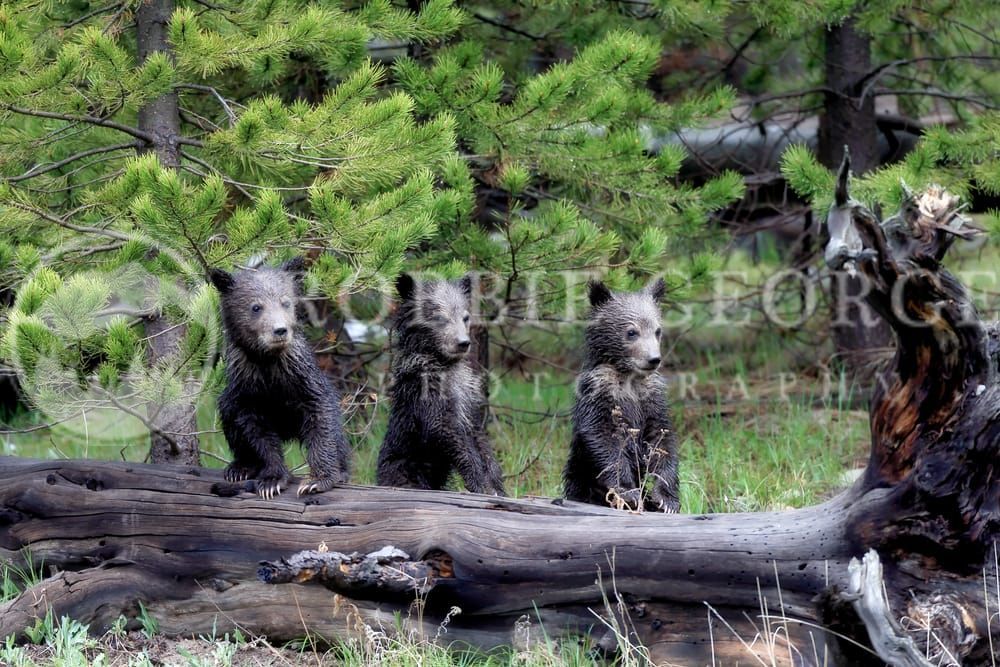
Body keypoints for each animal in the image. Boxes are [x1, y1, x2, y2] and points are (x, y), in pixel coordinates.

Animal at [209, 258, 351, 499]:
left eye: (285, 302)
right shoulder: (247, 388)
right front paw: (272, 480)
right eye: (256, 307)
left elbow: (322, 419)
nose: (280, 330)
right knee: (227, 411)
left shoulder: (302, 379)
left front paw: (318, 479)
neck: (268, 363)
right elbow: (257, 433)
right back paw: (240, 467)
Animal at [375, 273, 506, 495]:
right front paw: (479, 482)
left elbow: (478, 435)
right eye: (439, 317)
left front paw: (496, 484)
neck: (444, 364)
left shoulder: (468, 396)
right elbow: (444, 431)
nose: (463, 342)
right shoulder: (425, 389)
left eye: (465, 317)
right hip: (406, 469)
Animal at [563, 278, 680, 512]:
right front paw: (629, 492)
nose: (653, 359)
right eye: (631, 332)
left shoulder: (651, 398)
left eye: (657, 331)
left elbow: (661, 440)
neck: (629, 378)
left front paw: (666, 499)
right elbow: (604, 439)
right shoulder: (600, 393)